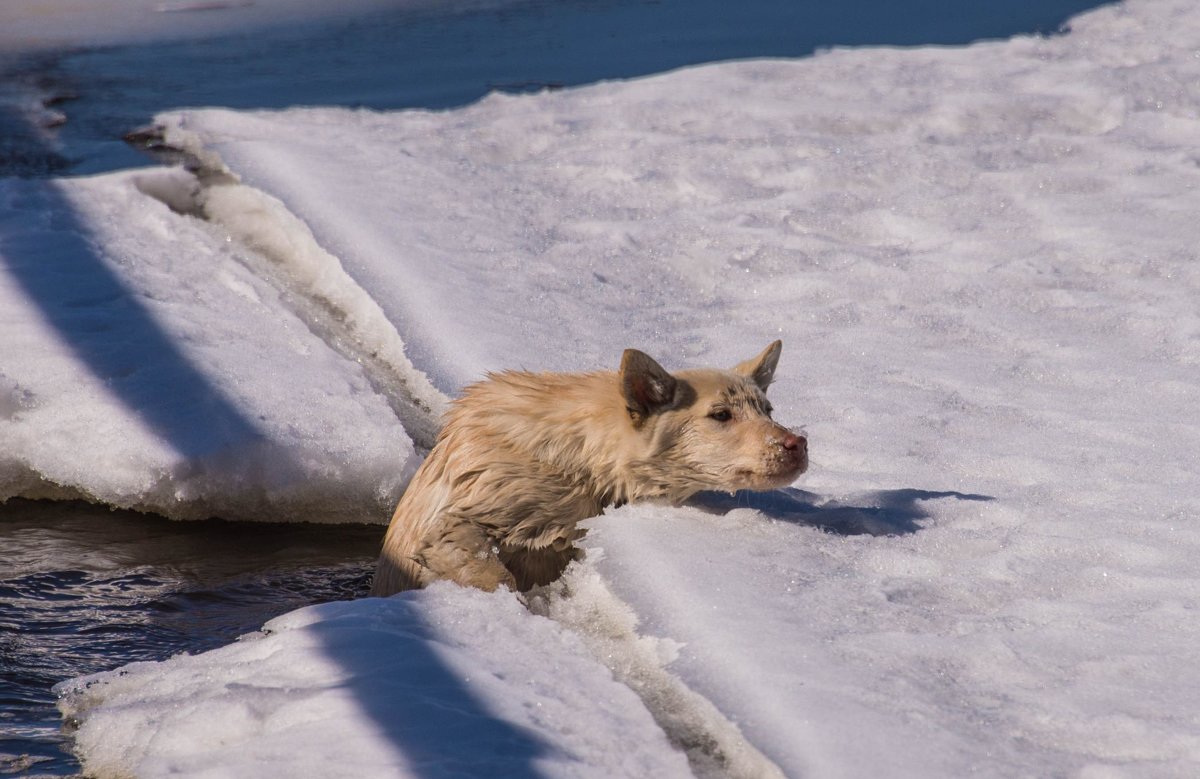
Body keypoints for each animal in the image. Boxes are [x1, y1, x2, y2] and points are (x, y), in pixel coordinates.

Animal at [369, 340, 811, 595]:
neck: (586, 461)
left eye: (768, 409)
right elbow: (492, 573)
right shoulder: (472, 509)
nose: (796, 444)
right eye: (721, 414)